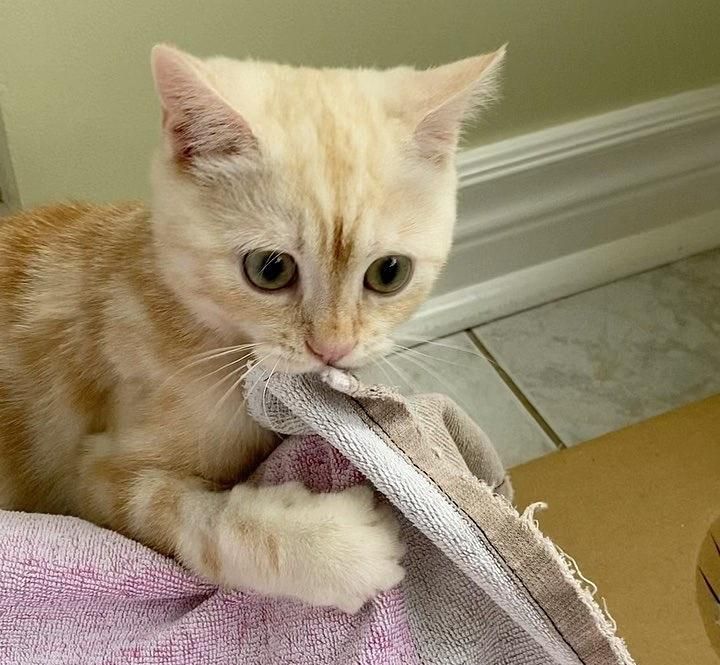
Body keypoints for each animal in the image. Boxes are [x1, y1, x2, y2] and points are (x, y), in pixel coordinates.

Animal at [0, 42, 506, 612]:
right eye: (269, 269)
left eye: (389, 273)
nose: (332, 347)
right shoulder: (95, 474)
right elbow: (198, 518)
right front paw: (337, 549)